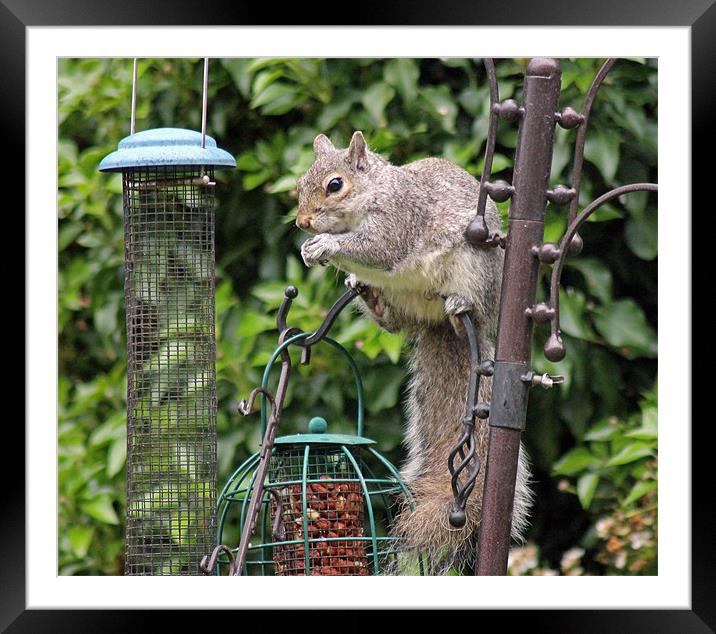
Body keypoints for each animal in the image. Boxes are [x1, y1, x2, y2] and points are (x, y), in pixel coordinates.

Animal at [296, 131, 532, 572]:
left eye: (335, 185)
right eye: (301, 182)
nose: (302, 222)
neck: (374, 192)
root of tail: (435, 319)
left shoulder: (396, 221)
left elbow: (376, 248)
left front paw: (323, 245)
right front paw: (311, 249)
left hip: (475, 272)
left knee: (467, 306)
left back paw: (461, 307)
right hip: (400, 298)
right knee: (393, 323)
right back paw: (368, 294)